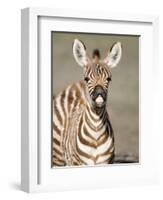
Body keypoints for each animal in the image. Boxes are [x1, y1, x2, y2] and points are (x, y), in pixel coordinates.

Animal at [52, 39, 121, 167]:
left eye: (108, 79)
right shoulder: (78, 163)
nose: (99, 94)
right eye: (87, 79)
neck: (96, 133)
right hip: (57, 157)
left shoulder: (106, 162)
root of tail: (76, 85)